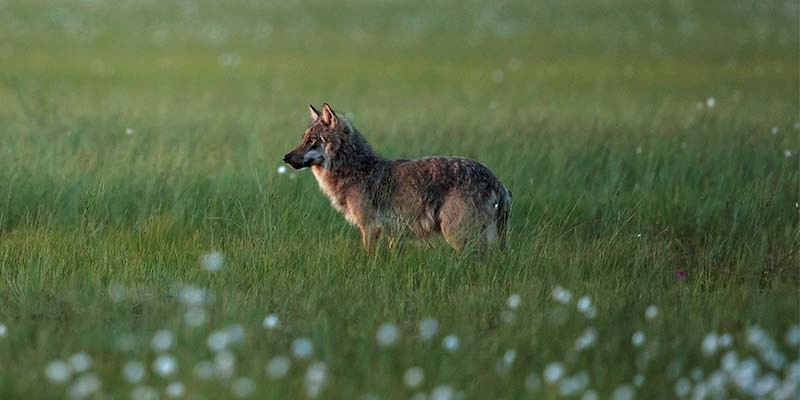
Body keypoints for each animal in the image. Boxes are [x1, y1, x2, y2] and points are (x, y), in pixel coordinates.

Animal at [283, 103, 511, 254]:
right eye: (303, 139)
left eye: (311, 140)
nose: (285, 158)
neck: (356, 171)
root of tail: (499, 183)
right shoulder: (393, 235)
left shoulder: (370, 227)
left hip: (456, 234)